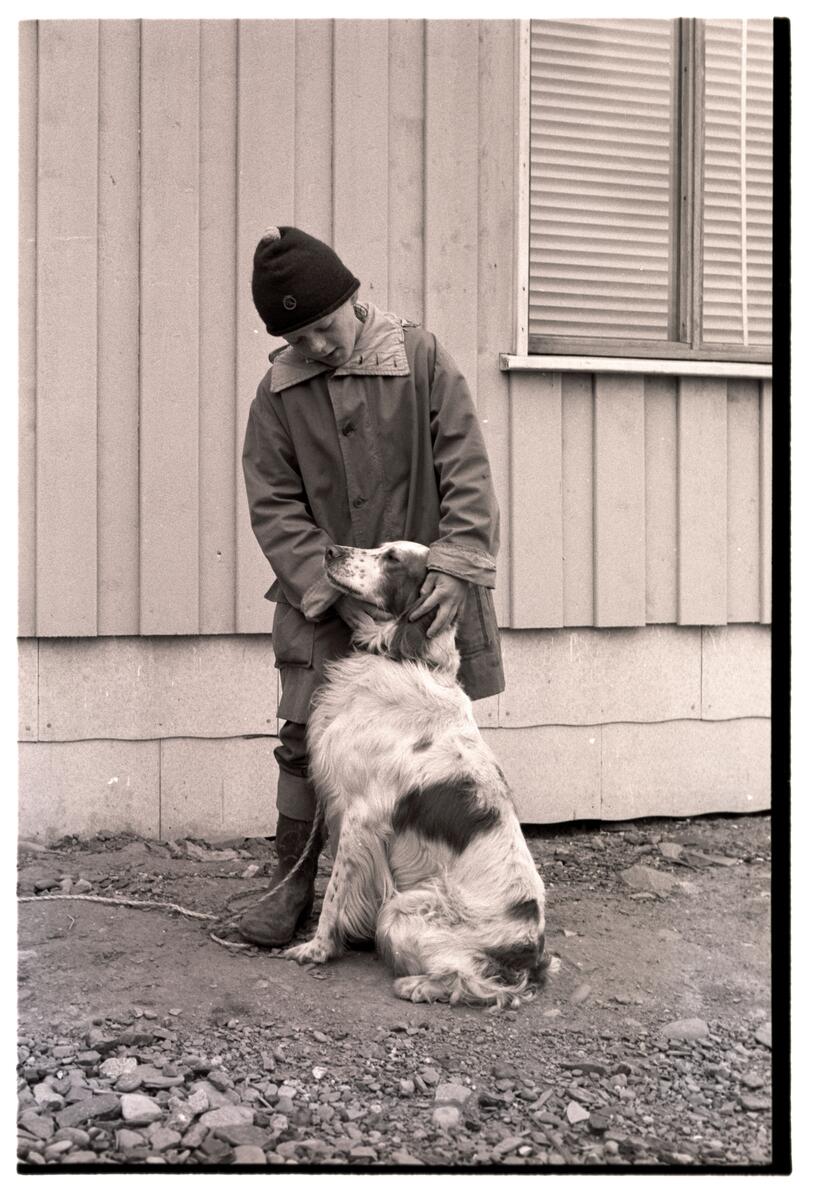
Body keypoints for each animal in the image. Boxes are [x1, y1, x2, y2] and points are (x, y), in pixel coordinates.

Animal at [282, 540, 551, 1008]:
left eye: (392, 558)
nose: (331, 550)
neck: (406, 659)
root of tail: (528, 952)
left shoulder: (360, 815)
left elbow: (334, 892)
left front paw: (317, 947)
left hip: (406, 910)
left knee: (470, 981)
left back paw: (417, 986)